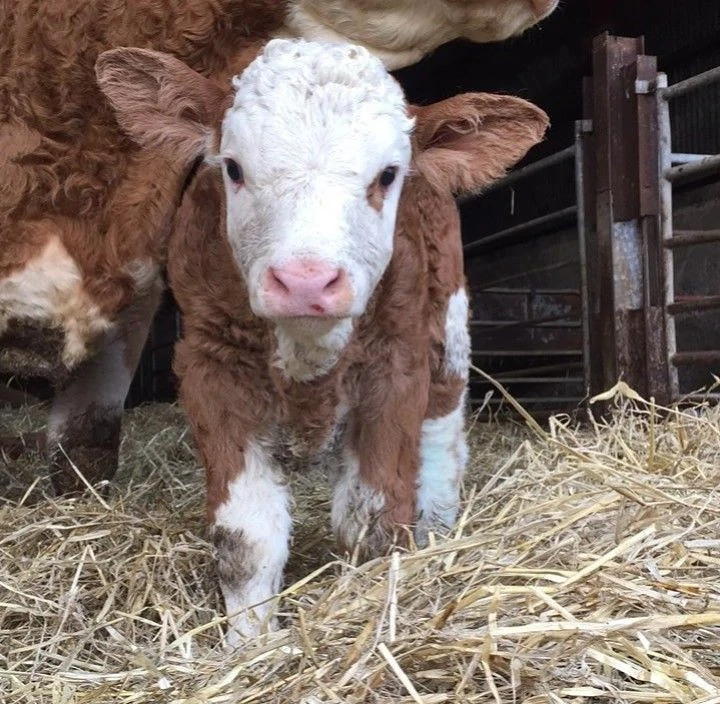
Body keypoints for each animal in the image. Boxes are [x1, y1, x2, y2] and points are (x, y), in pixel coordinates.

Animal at [95, 38, 548, 645]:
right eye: (232, 168)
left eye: (388, 175)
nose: (306, 281)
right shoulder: (210, 368)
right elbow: (245, 537)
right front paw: (249, 644)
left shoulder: (394, 368)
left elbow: (372, 520)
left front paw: (369, 609)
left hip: (447, 331)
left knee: (441, 441)